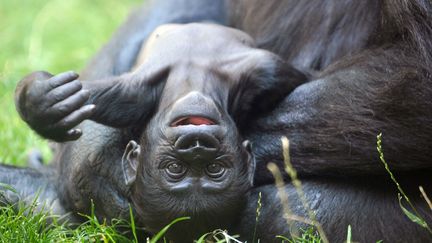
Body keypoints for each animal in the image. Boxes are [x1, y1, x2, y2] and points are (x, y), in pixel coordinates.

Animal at [11, 23, 306, 241]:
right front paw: (39, 102)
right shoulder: (134, 98)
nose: (196, 145)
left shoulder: (267, 76)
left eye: (214, 169)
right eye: (175, 168)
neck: (195, 88)